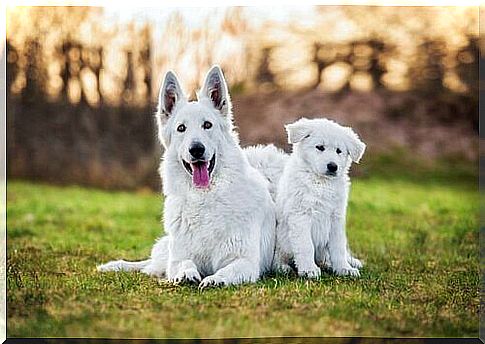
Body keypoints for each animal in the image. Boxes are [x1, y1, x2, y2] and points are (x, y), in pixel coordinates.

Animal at [97, 66, 276, 288]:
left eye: (207, 125)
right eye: (181, 128)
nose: (196, 149)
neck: (204, 198)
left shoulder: (245, 262)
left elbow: (227, 271)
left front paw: (215, 279)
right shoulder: (179, 257)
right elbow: (184, 264)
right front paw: (186, 274)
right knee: (151, 265)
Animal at [272, 117, 364, 278]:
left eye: (339, 151)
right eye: (320, 147)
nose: (333, 166)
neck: (321, 183)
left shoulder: (336, 218)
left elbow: (338, 247)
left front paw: (344, 268)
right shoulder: (301, 215)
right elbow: (306, 246)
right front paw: (309, 269)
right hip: (282, 241)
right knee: (279, 258)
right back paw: (283, 267)